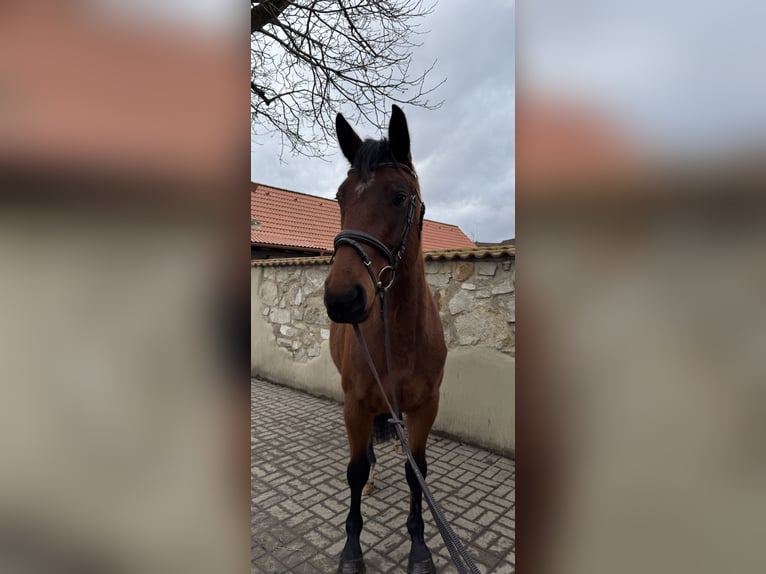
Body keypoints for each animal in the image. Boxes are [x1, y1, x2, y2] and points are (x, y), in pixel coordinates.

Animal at [324, 105, 447, 574]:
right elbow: (355, 470)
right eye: (341, 197)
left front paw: (420, 547)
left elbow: (418, 473)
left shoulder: (426, 406)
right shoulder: (356, 404)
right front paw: (351, 550)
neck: (401, 334)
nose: (342, 299)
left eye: (398, 196)